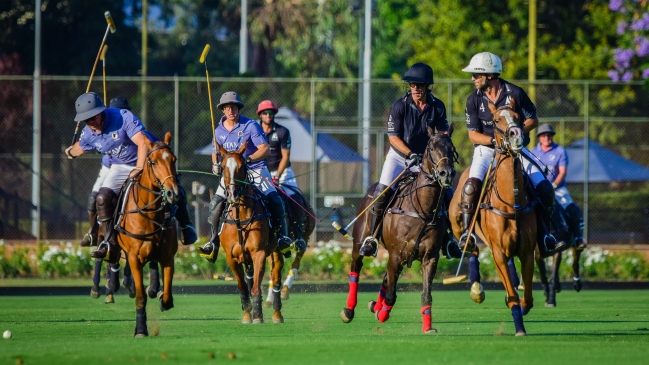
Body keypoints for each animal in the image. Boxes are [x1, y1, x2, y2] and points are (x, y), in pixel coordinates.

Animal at [114, 131, 180, 336]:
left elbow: (167, 296)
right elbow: (140, 296)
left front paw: (161, 297)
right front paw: (141, 329)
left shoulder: (168, 257)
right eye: (152, 162)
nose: (173, 193)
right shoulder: (134, 257)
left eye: (173, 159)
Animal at [218, 141, 284, 322]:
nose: (232, 194)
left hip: (276, 251)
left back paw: (277, 314)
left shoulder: (258, 253)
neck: (240, 217)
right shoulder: (231, 257)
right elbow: (242, 287)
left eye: (242, 166)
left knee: (276, 278)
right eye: (223, 167)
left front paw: (258, 316)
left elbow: (255, 287)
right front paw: (247, 314)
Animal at [340, 129, 456, 332]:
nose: (446, 174)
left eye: (452, 148)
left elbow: (426, 294)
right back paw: (349, 310)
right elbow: (391, 295)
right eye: (431, 148)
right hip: (359, 243)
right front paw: (382, 314)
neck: (422, 209)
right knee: (356, 269)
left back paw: (374, 306)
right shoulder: (396, 255)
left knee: (386, 279)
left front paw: (428, 327)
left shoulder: (430, 257)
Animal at [448, 99, 536, 336]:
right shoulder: (497, 252)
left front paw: (521, 307)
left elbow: (527, 297)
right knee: (471, 247)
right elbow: (513, 295)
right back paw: (476, 289)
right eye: (496, 120)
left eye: (518, 116)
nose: (516, 135)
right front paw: (519, 327)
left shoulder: (527, 251)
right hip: (459, 226)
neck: (510, 202)